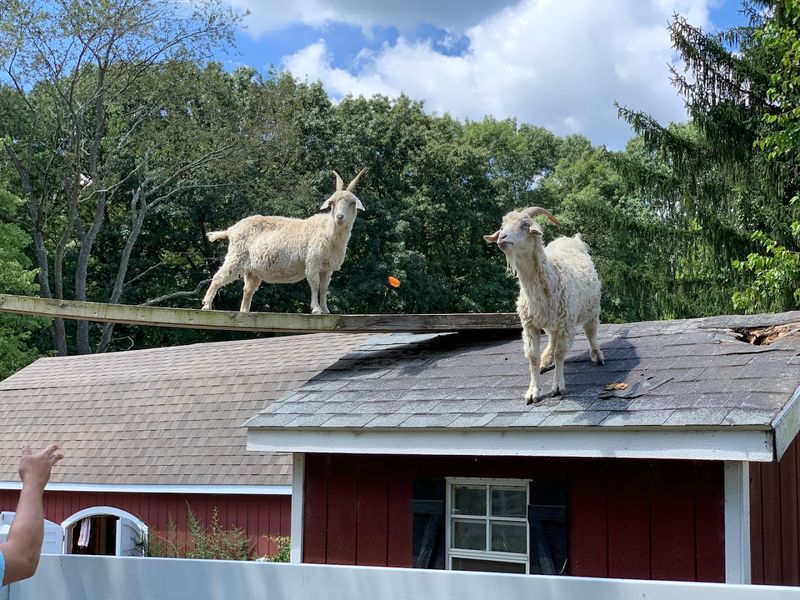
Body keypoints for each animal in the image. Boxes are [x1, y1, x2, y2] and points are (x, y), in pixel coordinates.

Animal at [201, 168, 367, 314]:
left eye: (352, 203)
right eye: (332, 203)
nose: (339, 217)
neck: (326, 231)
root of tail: (232, 229)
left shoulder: (327, 267)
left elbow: (325, 288)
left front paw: (326, 310)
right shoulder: (312, 261)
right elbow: (314, 284)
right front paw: (316, 309)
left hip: (252, 269)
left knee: (248, 289)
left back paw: (244, 311)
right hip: (236, 256)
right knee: (219, 277)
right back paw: (206, 304)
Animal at [484, 206, 604, 404]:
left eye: (525, 224)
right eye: (502, 226)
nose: (502, 237)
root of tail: (573, 239)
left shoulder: (566, 324)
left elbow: (560, 353)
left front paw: (558, 387)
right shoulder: (530, 325)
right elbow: (532, 356)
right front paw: (533, 391)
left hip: (592, 308)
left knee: (591, 331)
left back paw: (597, 355)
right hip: (552, 321)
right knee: (552, 337)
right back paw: (545, 359)